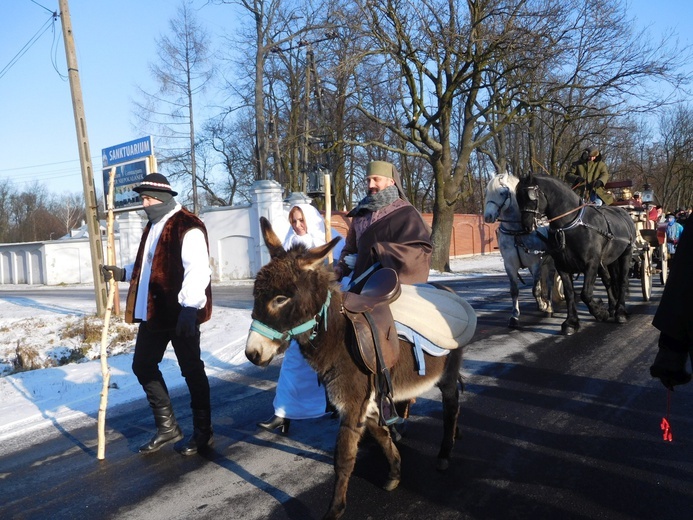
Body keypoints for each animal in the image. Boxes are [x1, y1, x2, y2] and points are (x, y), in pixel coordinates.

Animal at [484, 175, 556, 330]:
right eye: (486, 192)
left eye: (502, 193)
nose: (488, 216)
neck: (517, 232)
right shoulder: (510, 265)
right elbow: (514, 291)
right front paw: (514, 316)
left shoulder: (536, 263)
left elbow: (535, 289)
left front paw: (543, 305)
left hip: (551, 263)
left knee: (550, 282)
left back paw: (549, 306)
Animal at [512, 173, 632, 336]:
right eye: (517, 197)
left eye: (531, 196)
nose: (526, 226)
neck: (569, 227)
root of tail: (623, 212)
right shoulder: (563, 266)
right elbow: (569, 294)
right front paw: (571, 322)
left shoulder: (591, 264)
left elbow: (585, 294)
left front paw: (600, 312)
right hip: (609, 260)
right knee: (609, 281)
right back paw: (612, 307)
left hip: (626, 254)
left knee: (622, 281)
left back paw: (620, 312)